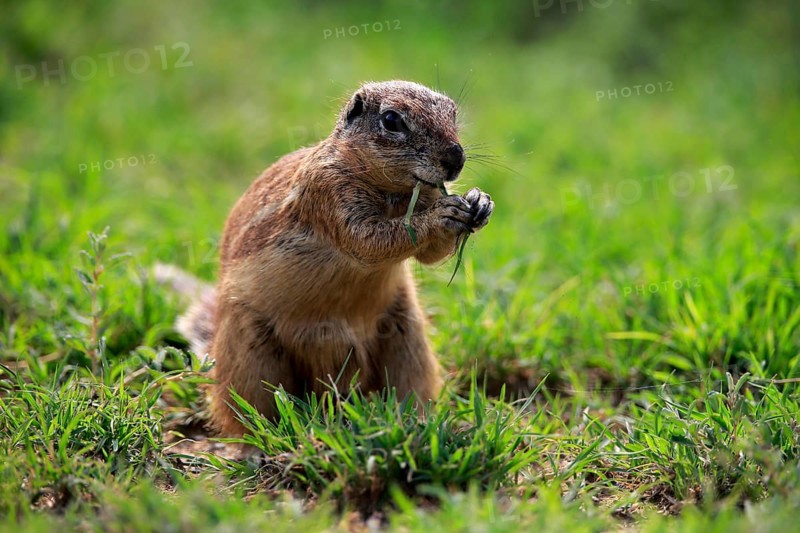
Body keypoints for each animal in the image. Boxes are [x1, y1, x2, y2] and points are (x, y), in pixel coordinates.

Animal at [162, 80, 494, 436]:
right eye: (391, 120)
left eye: (453, 112)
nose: (455, 159)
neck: (392, 191)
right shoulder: (328, 193)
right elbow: (370, 240)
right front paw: (441, 215)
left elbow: (430, 255)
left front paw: (480, 201)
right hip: (249, 355)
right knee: (245, 412)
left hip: (408, 341)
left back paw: (414, 422)